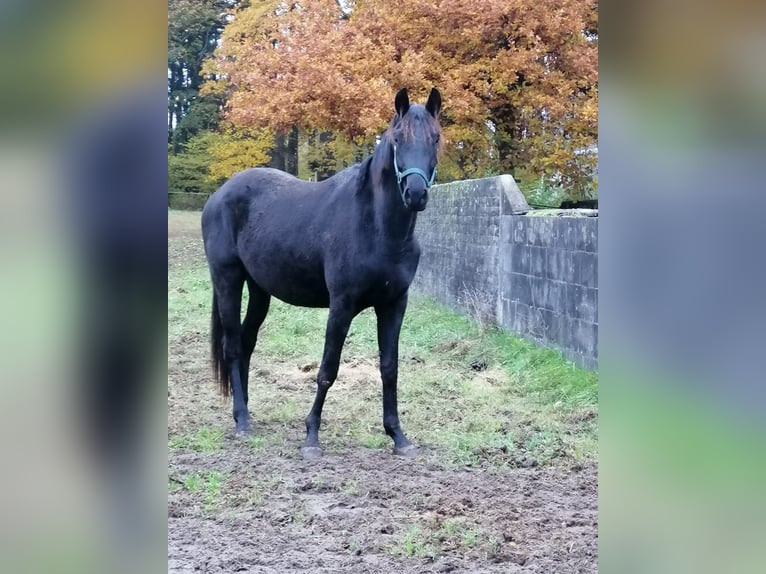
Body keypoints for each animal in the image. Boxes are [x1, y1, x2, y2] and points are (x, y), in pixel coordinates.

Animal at [204, 88, 444, 462]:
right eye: (397, 139)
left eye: (436, 138)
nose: (416, 194)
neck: (378, 227)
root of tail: (219, 196)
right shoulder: (342, 305)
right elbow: (328, 369)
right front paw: (311, 437)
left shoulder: (393, 305)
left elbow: (389, 368)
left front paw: (398, 436)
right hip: (228, 280)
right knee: (232, 345)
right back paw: (242, 421)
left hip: (259, 291)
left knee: (246, 342)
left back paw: (244, 412)